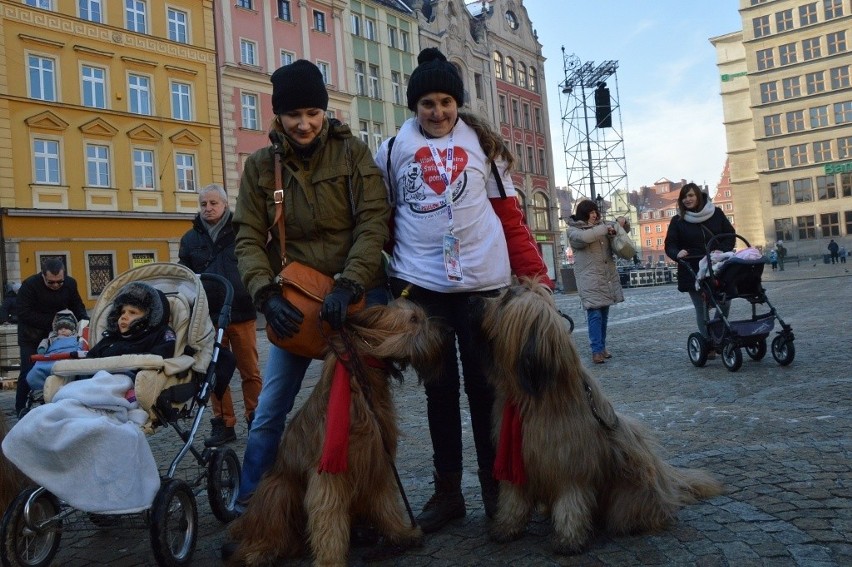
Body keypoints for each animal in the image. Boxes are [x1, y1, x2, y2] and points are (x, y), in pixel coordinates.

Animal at [230, 300, 442, 564]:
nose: (445, 330)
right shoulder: (329, 470)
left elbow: (385, 501)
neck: (359, 383)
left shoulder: (376, 459)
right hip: (278, 488)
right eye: (413, 319)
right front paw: (330, 559)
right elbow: (328, 513)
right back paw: (260, 551)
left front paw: (401, 533)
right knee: (268, 525)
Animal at [472, 280, 724, 556]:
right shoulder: (516, 459)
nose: (476, 301)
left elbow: (571, 503)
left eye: (506, 298)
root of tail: (667, 482)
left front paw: (569, 539)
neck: (535, 397)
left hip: (628, 494)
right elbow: (513, 500)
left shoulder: (572, 465)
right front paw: (505, 528)